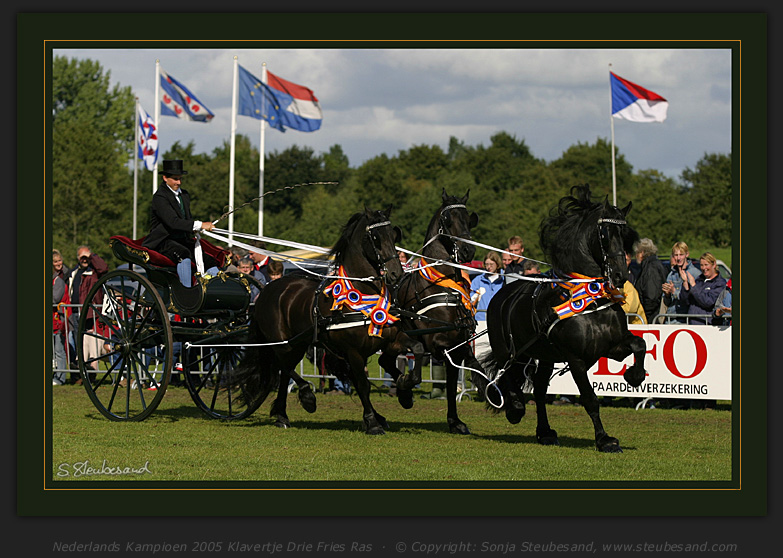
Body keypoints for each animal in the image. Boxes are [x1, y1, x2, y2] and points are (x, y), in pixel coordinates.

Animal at [230, 208, 426, 436]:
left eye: (394, 236)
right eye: (376, 238)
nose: (396, 273)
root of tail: (267, 290)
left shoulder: (390, 340)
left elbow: (416, 349)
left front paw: (405, 388)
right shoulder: (353, 352)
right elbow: (363, 384)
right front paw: (373, 423)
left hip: (298, 345)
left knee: (285, 373)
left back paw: (282, 416)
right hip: (282, 343)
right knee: (282, 367)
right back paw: (306, 398)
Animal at [382, 190, 484, 436]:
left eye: (468, 219)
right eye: (448, 220)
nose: (468, 250)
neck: (440, 286)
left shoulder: (458, 345)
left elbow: (459, 380)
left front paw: (455, 421)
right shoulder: (438, 344)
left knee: (384, 361)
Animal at [480, 185, 648, 456]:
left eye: (626, 235)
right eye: (604, 233)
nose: (621, 275)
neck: (590, 298)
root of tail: (502, 295)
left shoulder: (610, 348)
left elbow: (639, 344)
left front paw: (634, 375)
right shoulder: (576, 359)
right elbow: (590, 399)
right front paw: (605, 440)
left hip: (545, 356)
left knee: (538, 389)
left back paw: (545, 432)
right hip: (509, 351)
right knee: (507, 377)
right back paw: (515, 408)